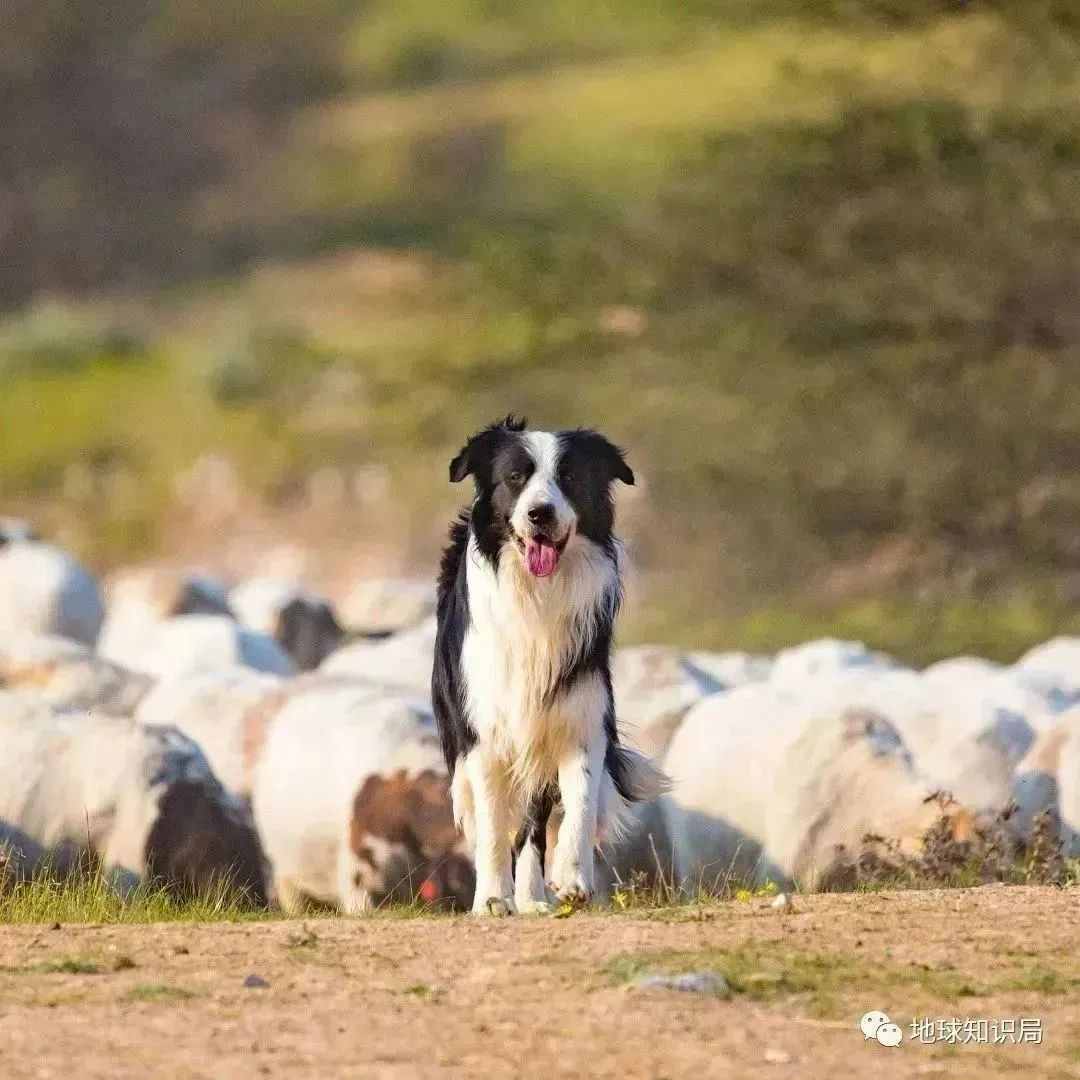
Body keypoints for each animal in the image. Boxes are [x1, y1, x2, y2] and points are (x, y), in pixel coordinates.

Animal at [429, 412, 665, 911]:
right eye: (515, 477)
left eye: (570, 477)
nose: (541, 513)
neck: (538, 593)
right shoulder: (484, 732)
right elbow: (494, 827)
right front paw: (491, 899)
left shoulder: (578, 719)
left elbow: (579, 805)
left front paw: (572, 879)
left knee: (535, 825)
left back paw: (533, 898)